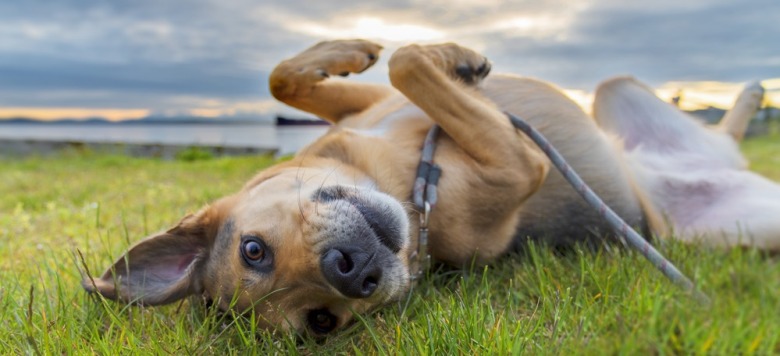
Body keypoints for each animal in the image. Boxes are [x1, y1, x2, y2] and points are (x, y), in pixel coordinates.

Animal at [80, 40, 780, 336]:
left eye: (254, 250)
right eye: (322, 323)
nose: (350, 271)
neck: (400, 177)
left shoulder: (369, 106)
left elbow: (300, 77)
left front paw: (365, 47)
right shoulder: (518, 163)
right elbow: (409, 65)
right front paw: (447, 56)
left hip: (614, 91)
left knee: (719, 130)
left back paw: (749, 95)